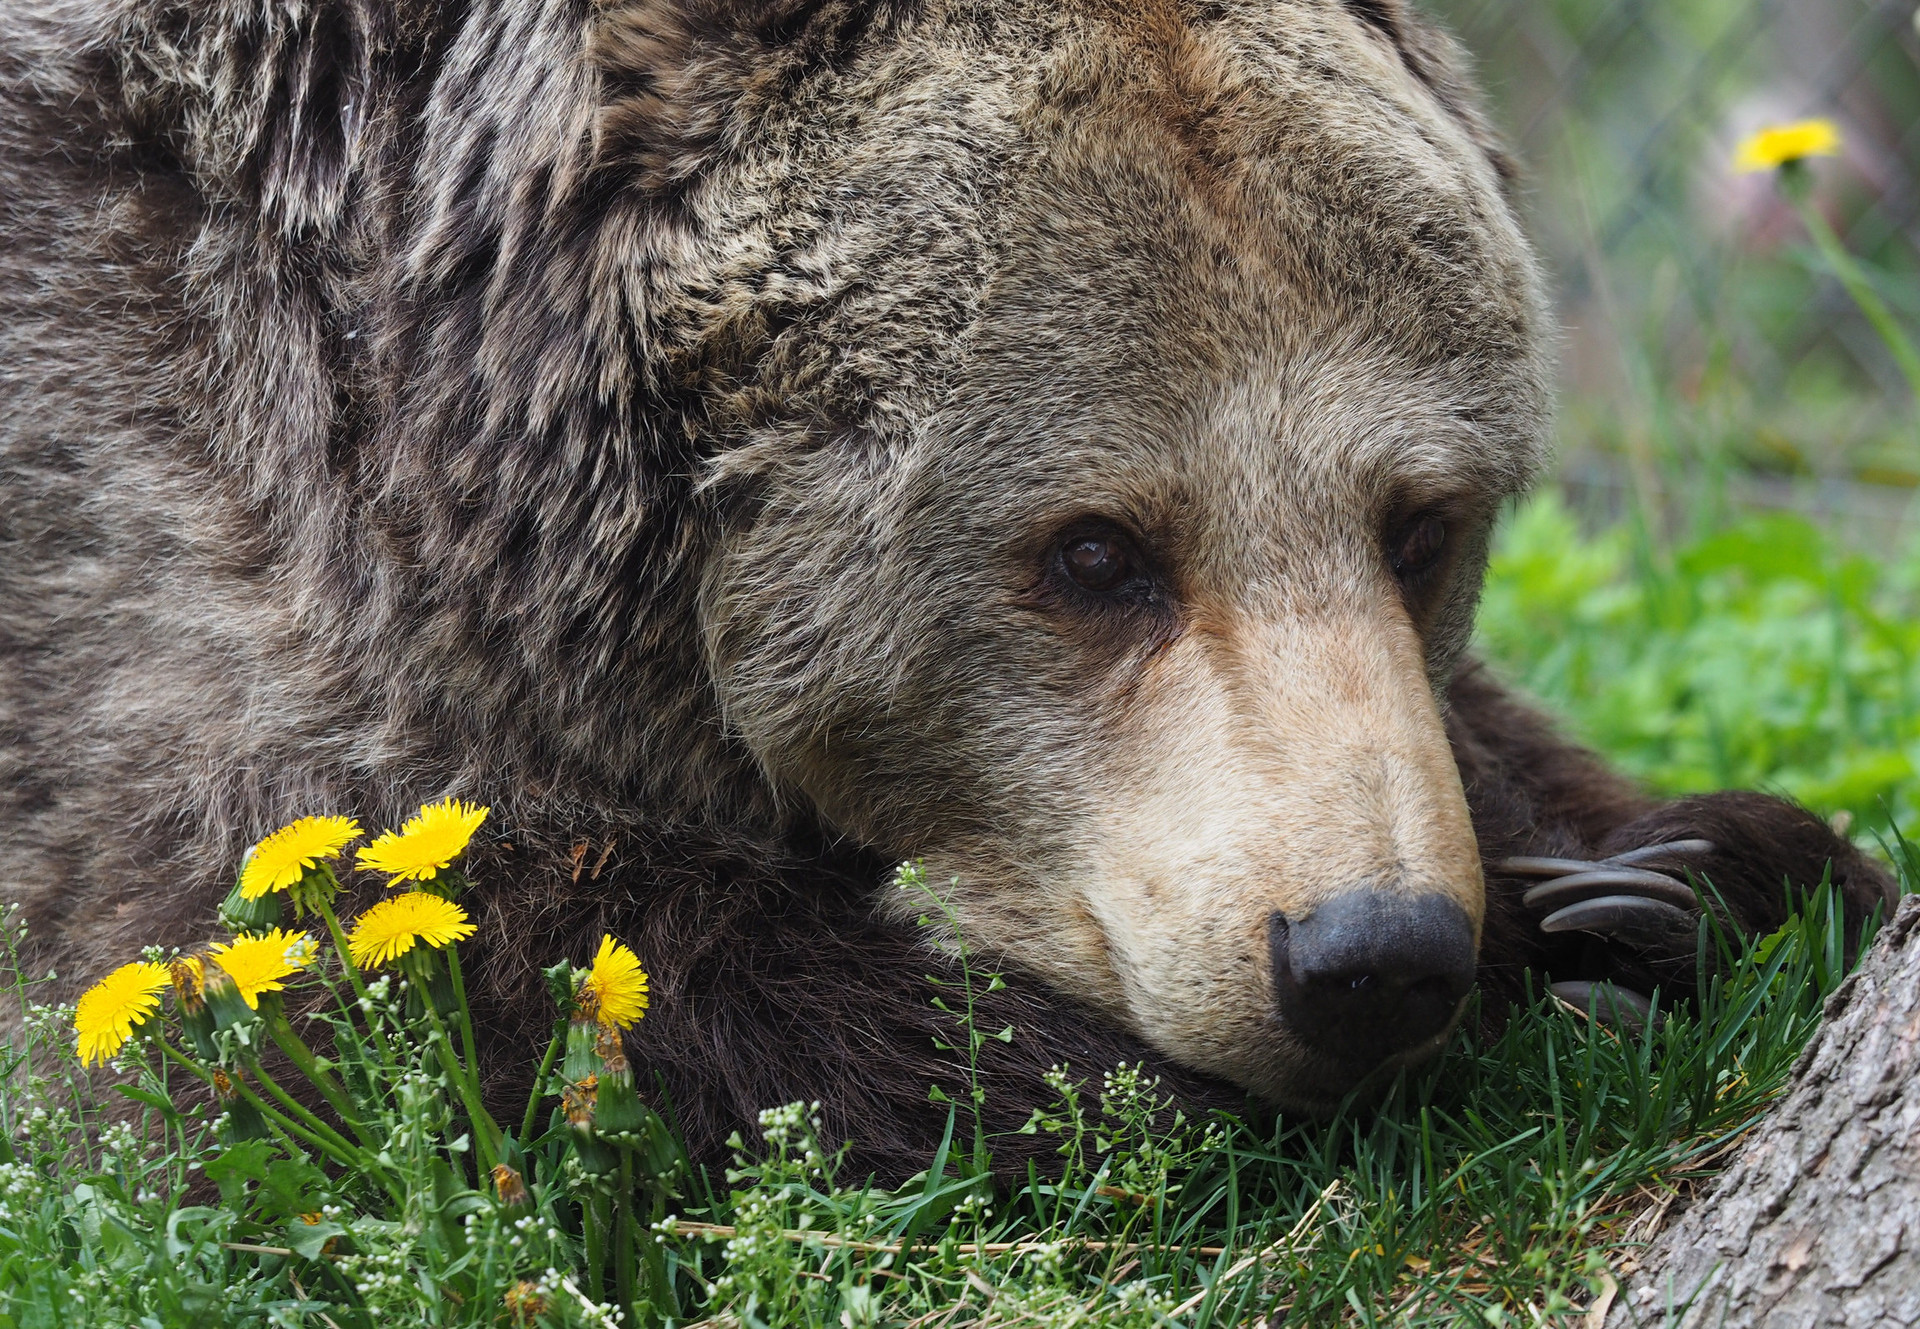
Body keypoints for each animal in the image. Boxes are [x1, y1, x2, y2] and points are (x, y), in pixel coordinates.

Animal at [0, 0, 1897, 1181]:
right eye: (1096, 548)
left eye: (1421, 521)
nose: (1372, 955)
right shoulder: (155, 521)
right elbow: (355, 966)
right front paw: (1544, 973)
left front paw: (1676, 878)